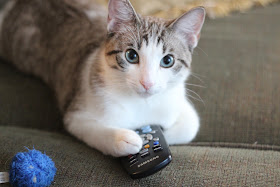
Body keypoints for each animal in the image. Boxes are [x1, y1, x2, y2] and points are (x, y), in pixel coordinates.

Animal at [0, 0, 206, 156]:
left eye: (168, 60)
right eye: (131, 56)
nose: (147, 83)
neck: (142, 104)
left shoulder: (178, 101)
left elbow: (191, 126)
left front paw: (161, 137)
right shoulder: (76, 114)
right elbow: (92, 129)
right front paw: (126, 138)